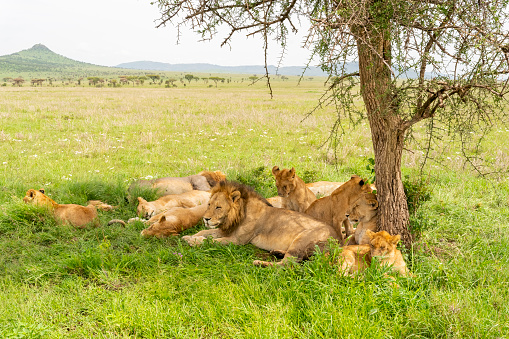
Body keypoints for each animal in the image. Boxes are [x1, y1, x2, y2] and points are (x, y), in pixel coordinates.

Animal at [182, 182, 338, 266]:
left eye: (218, 207)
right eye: (209, 204)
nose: (205, 219)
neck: (238, 215)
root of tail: (339, 242)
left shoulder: (237, 240)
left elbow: (212, 241)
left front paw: (194, 241)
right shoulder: (226, 230)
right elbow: (205, 233)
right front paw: (189, 237)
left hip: (302, 238)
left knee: (286, 265)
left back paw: (259, 263)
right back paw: (277, 252)